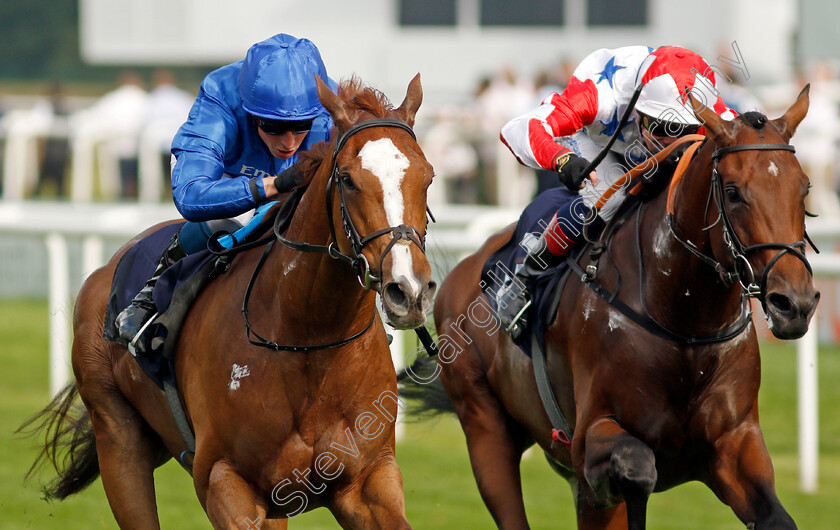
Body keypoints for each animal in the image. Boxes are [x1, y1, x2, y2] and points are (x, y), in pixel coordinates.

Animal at [23, 75, 436, 528]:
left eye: (428, 177)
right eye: (347, 179)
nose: (409, 289)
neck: (310, 342)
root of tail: (107, 268)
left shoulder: (366, 480)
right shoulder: (228, 481)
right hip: (118, 439)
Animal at [414, 88, 820, 524]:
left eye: (804, 188)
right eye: (733, 192)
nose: (794, 302)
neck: (685, 324)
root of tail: (465, 269)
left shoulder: (736, 443)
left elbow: (776, 516)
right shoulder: (589, 442)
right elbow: (636, 468)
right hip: (485, 427)